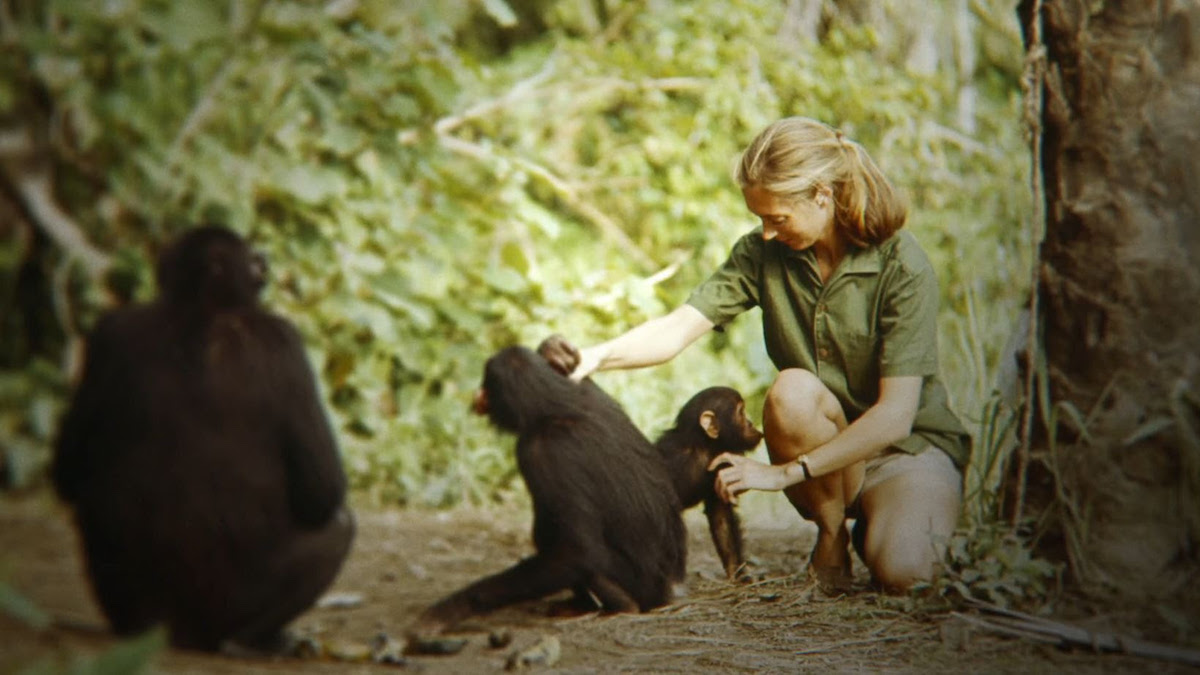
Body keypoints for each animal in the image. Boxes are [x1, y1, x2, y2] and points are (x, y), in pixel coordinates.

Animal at [52, 225, 350, 653]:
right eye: (252, 259)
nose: (264, 261)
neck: (201, 308)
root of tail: (177, 631)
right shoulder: (285, 340)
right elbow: (322, 490)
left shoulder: (110, 332)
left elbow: (69, 468)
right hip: (224, 612)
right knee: (339, 525)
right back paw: (252, 639)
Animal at [408, 343, 686, 638]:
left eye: (485, 383)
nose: (477, 394)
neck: (555, 405)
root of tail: (668, 592)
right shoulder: (584, 386)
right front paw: (553, 351)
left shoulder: (542, 450)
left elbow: (577, 551)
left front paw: (451, 609)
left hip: (638, 586)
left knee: (549, 534)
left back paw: (620, 605)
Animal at [652, 389, 763, 578]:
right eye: (741, 412)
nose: (750, 423)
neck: (704, 447)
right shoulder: (673, 461)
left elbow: (721, 517)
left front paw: (737, 573)